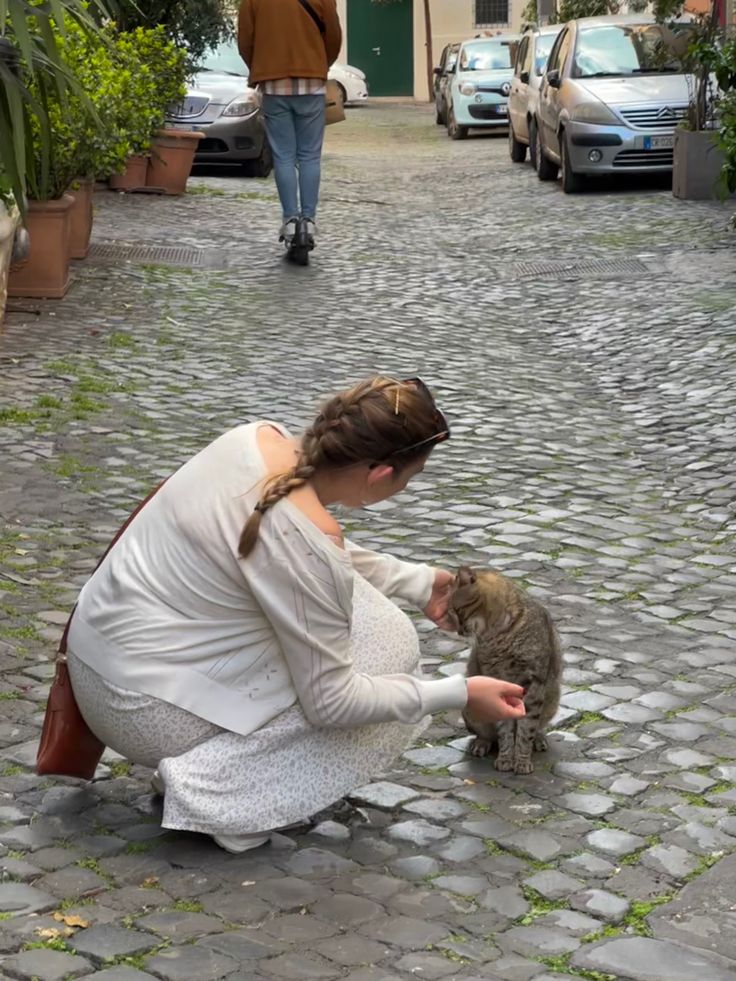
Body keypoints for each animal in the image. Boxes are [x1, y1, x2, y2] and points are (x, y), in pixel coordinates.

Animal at [446, 568, 560, 772]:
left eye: (456, 611)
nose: (458, 631)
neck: (498, 633)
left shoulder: (534, 682)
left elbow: (526, 729)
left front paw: (522, 761)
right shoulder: (497, 682)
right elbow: (505, 731)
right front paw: (506, 759)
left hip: (552, 700)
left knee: (537, 727)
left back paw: (538, 740)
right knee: (486, 735)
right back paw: (480, 744)